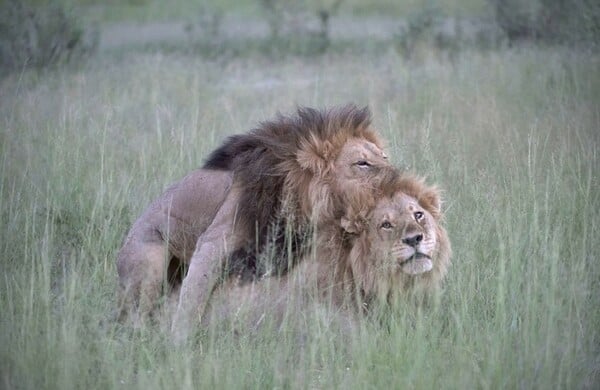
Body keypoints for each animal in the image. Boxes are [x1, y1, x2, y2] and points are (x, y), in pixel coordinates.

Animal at [115, 103, 394, 338]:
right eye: (362, 163)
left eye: (384, 157)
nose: (397, 175)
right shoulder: (216, 239)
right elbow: (193, 295)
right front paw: (179, 341)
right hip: (149, 261)